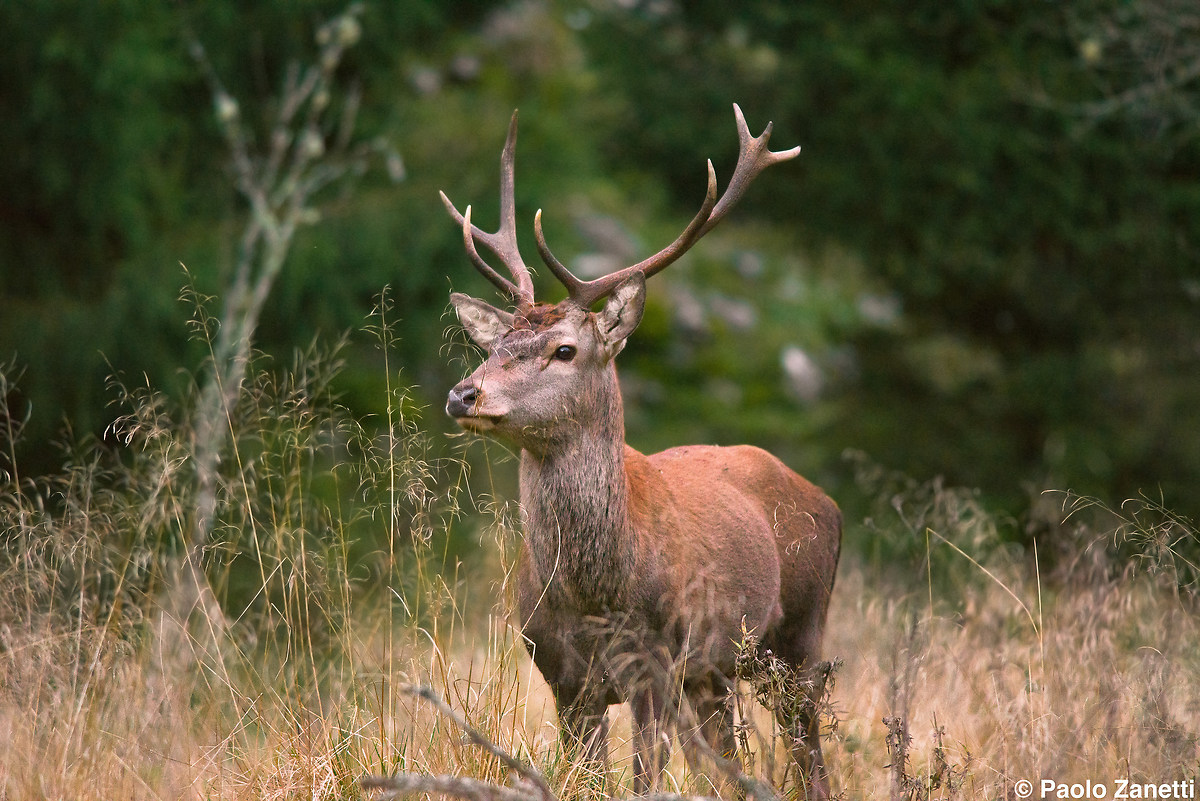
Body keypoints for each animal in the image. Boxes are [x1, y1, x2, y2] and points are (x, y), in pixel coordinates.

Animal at [442, 105, 841, 800]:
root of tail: (827, 501)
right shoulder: (561, 676)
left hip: (799, 635)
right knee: (726, 757)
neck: (597, 594)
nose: (464, 393)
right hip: (717, 674)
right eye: (492, 348)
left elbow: (644, 780)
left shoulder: (655, 666)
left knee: (807, 751)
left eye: (565, 350)